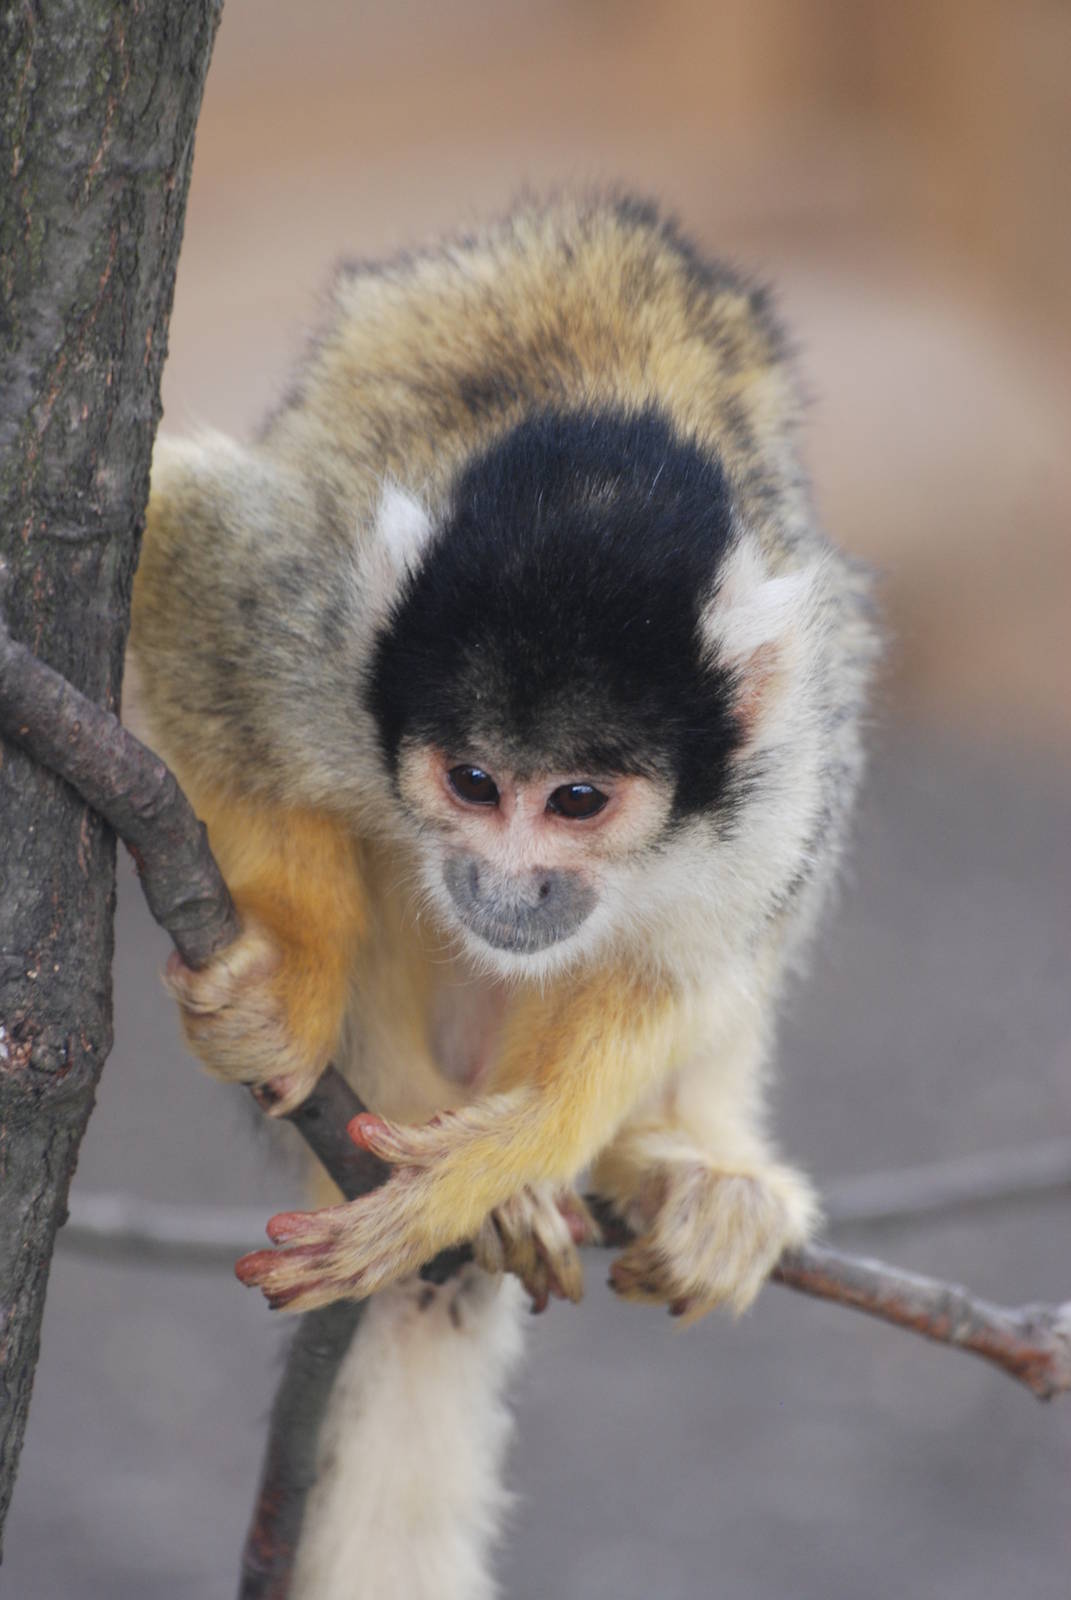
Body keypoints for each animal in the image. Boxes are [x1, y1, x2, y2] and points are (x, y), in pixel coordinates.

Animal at [129, 192, 877, 1600]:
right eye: (475, 782)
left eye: (577, 801)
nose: (508, 882)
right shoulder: (310, 624)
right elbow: (183, 551)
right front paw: (295, 971)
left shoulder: (777, 767)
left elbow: (689, 956)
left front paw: (482, 1167)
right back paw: (406, 1088)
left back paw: (681, 1162)